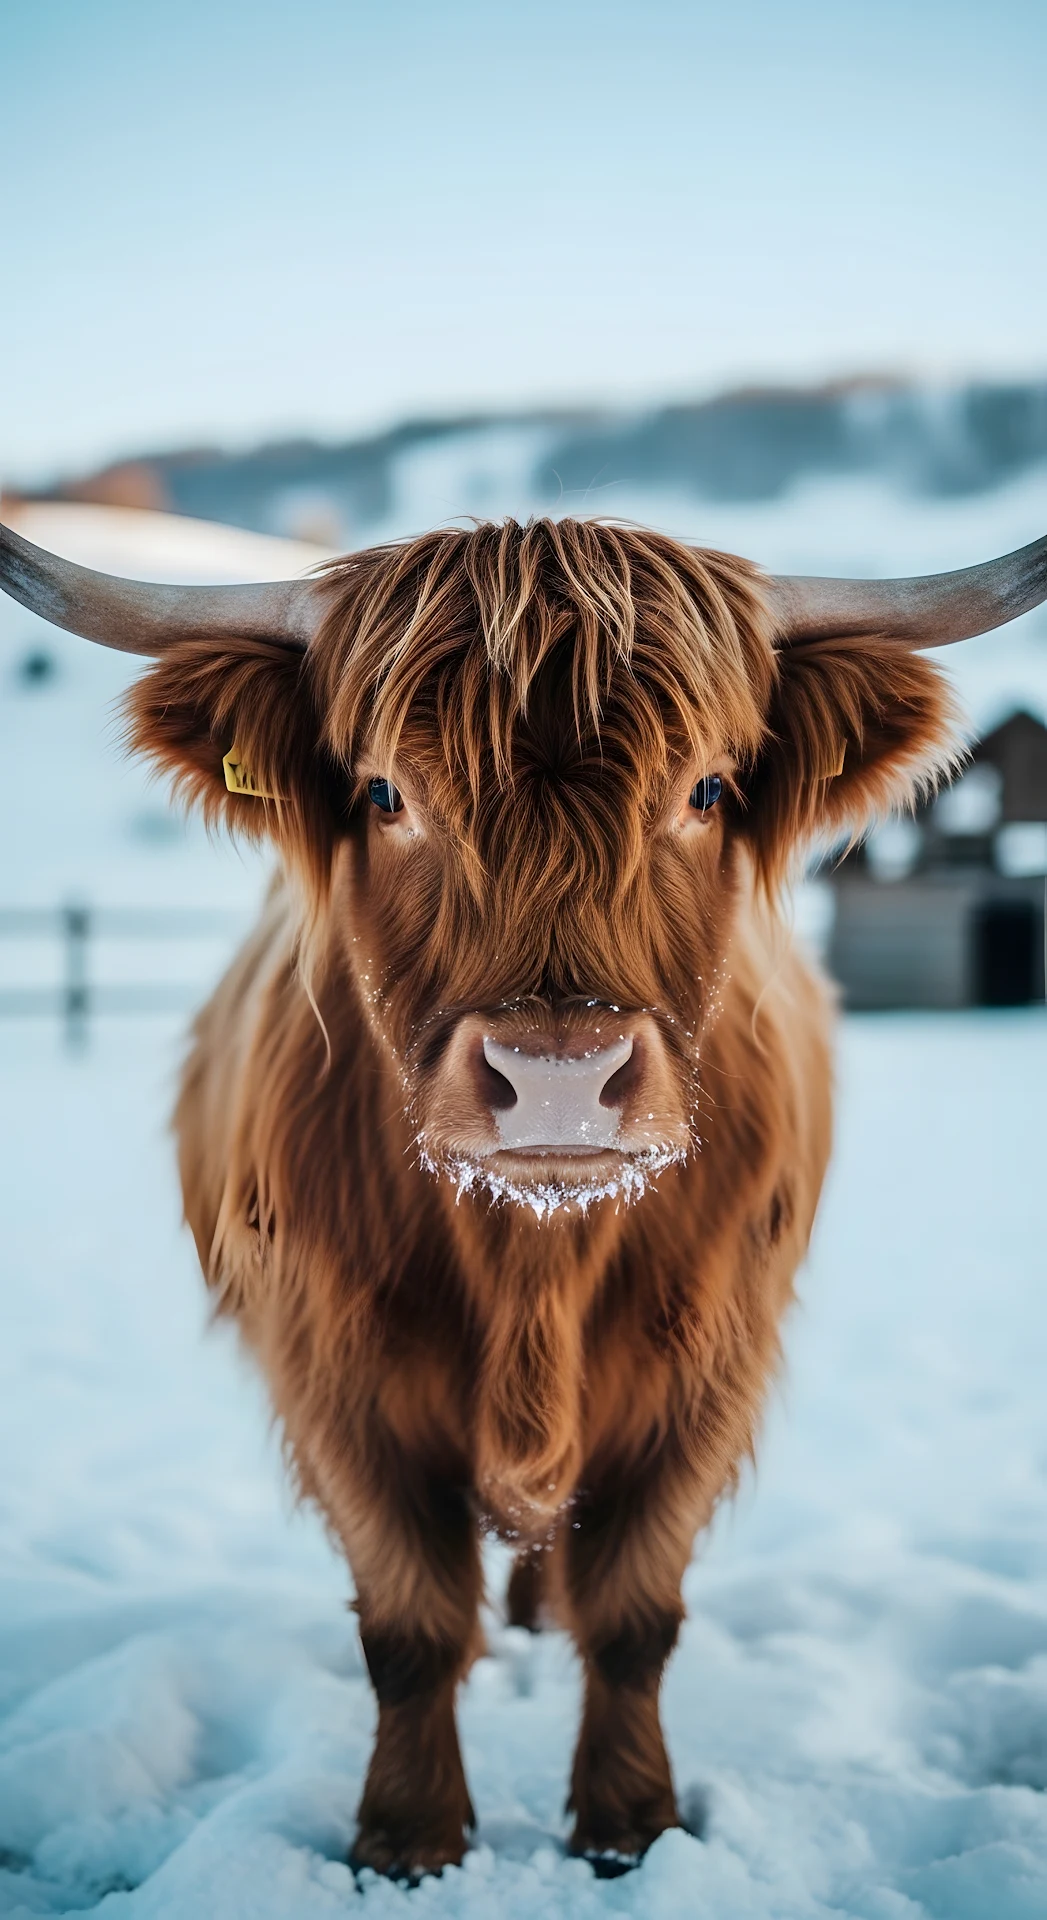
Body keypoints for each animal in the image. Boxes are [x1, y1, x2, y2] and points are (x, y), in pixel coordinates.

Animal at [3, 515, 1045, 1879]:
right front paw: (406, 1840)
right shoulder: (332, 1371)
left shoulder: (711, 1366)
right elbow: (410, 1621)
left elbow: (636, 1612)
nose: (559, 1074)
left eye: (708, 789)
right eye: (386, 792)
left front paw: (631, 1828)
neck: (532, 1268)